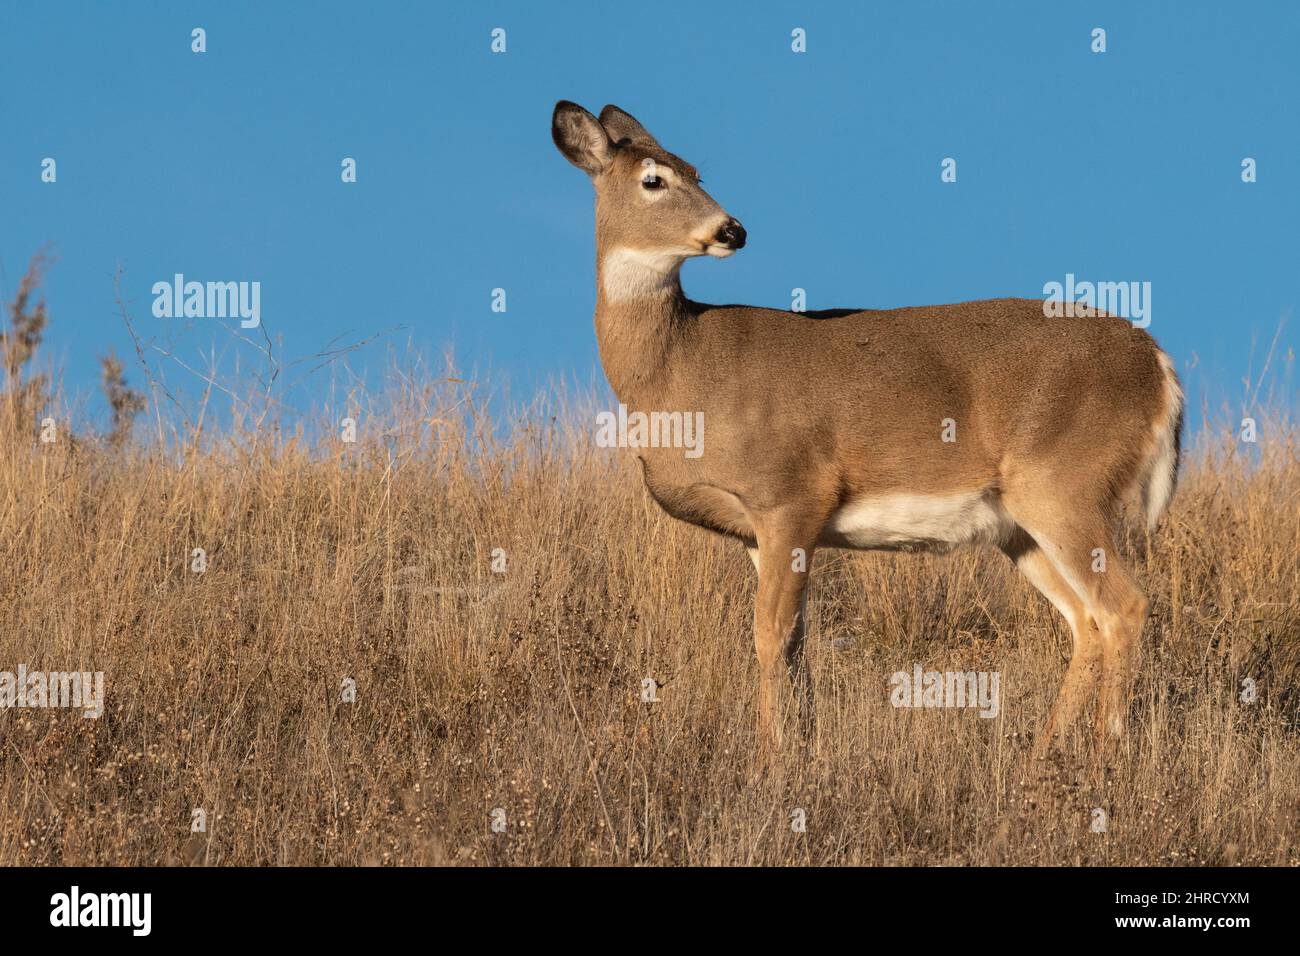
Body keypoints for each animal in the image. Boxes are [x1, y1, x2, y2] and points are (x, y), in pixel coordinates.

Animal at [553, 100, 1185, 764]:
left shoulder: (792, 492)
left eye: (697, 173)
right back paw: (1044, 754)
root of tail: (1159, 366)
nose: (733, 231)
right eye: (655, 178)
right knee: (1085, 621)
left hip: (1065, 483)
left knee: (1124, 606)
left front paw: (770, 759)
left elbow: (769, 633)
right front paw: (801, 747)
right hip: (1021, 525)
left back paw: (1108, 746)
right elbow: (796, 641)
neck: (678, 374)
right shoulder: (757, 528)